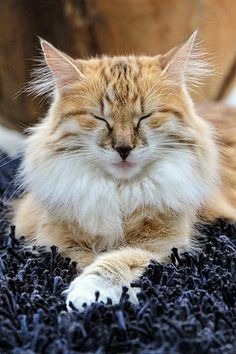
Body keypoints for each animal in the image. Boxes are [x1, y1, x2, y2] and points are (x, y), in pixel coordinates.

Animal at [13, 32, 236, 310]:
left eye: (145, 117)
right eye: (99, 118)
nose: (123, 148)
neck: (119, 190)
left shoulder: (160, 244)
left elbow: (114, 261)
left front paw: (90, 293)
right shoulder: (57, 239)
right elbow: (86, 259)